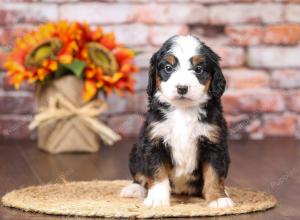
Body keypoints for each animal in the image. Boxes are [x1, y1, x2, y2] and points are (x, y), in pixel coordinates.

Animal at [120, 35, 233, 209]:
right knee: (139, 175)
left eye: (198, 69)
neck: (183, 110)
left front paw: (218, 198)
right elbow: (157, 173)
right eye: (168, 68)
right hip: (136, 152)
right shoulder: (155, 141)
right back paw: (133, 189)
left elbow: (214, 174)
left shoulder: (214, 143)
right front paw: (157, 199)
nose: (182, 88)